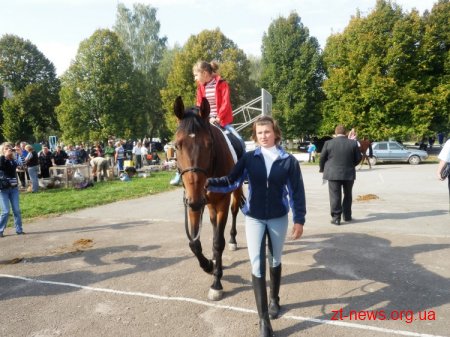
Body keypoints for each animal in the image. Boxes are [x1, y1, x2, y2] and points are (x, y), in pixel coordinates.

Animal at [173, 95, 243, 300]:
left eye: (209, 144)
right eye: (177, 145)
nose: (196, 199)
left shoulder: (221, 203)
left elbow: (218, 243)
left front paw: (216, 283)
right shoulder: (193, 204)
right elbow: (194, 243)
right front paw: (208, 265)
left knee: (234, 212)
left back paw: (233, 240)